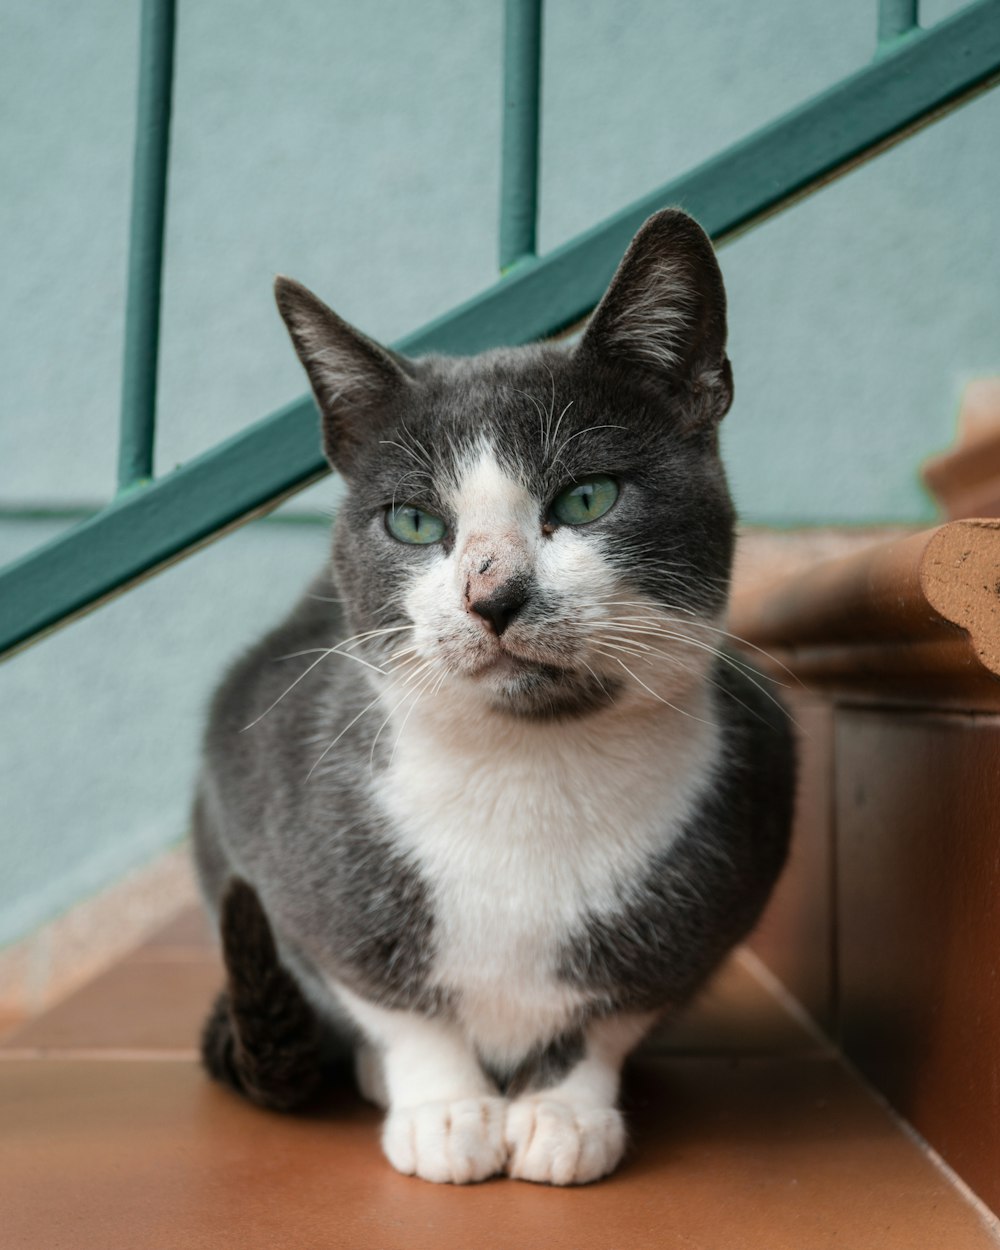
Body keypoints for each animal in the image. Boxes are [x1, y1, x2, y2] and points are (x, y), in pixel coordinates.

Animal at [191, 210, 795, 1185]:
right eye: (413, 522)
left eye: (587, 499)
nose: (494, 595)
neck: (528, 766)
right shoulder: (276, 816)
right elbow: (389, 996)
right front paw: (444, 1109)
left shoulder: (732, 849)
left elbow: (612, 1009)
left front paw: (563, 1114)